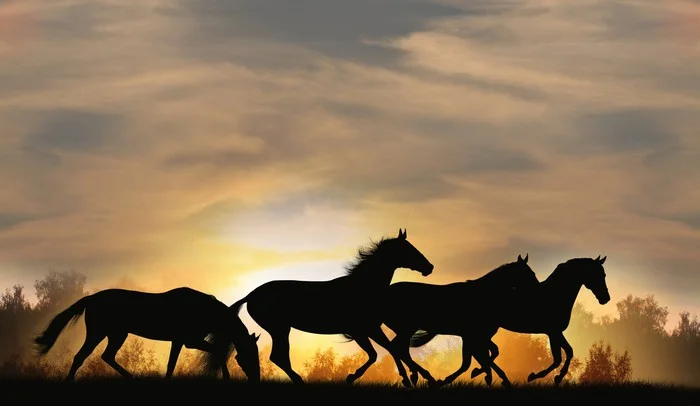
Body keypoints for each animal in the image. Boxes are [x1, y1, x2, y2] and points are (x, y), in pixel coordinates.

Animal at [33, 287, 262, 382]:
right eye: (248, 356)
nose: (256, 378)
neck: (204, 310)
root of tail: (91, 298)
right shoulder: (189, 340)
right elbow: (217, 352)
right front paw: (226, 377)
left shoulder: (180, 341)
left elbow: (171, 364)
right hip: (99, 333)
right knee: (81, 357)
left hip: (117, 334)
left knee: (107, 356)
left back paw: (131, 377)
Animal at [203, 228, 434, 386]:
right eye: (409, 250)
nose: (429, 267)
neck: (364, 288)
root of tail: (251, 294)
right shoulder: (361, 330)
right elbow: (378, 354)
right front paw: (352, 377)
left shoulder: (371, 329)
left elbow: (390, 349)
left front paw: (412, 378)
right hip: (279, 329)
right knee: (277, 356)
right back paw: (300, 381)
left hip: (280, 329)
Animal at [364, 253, 539, 388]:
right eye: (529, 274)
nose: (538, 290)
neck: (483, 296)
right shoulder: (472, 335)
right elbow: (472, 361)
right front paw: (473, 374)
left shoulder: (474, 336)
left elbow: (486, 355)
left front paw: (496, 378)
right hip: (407, 328)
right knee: (397, 348)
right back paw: (423, 378)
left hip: (404, 330)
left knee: (400, 349)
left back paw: (419, 377)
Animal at [408, 256, 611, 387]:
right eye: (598, 274)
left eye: (604, 274)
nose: (605, 299)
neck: (554, 294)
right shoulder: (553, 332)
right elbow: (559, 357)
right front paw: (539, 376)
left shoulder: (555, 332)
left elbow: (567, 353)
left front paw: (554, 377)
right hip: (482, 332)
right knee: (480, 354)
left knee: (481, 354)